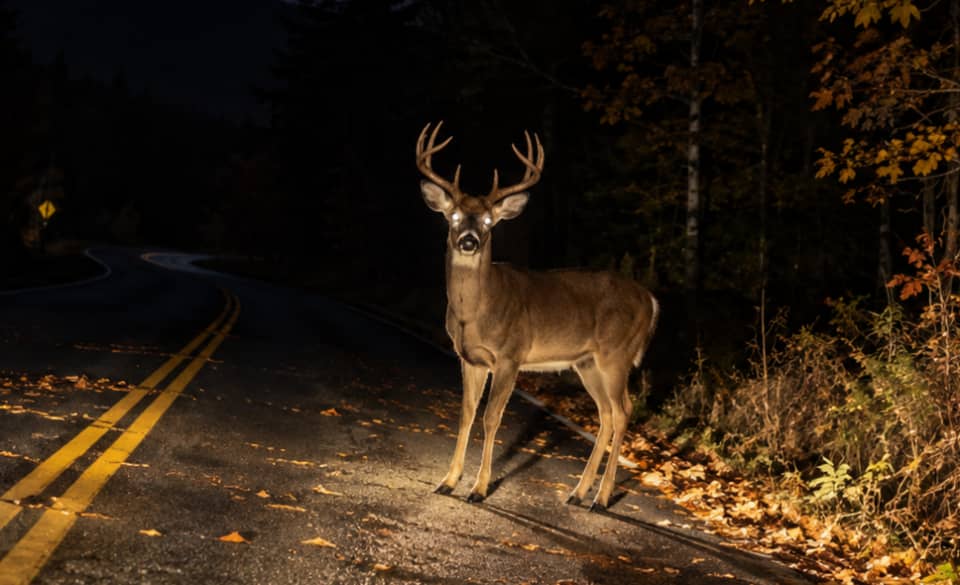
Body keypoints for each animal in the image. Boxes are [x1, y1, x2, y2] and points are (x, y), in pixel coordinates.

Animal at [417, 121, 659, 510]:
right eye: (453, 216)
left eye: (488, 221)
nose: (469, 241)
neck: (476, 312)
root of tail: (651, 300)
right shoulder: (470, 358)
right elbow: (466, 414)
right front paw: (448, 481)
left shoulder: (510, 355)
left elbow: (491, 417)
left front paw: (478, 488)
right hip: (587, 362)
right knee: (606, 413)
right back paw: (578, 493)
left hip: (616, 355)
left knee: (624, 410)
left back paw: (602, 498)